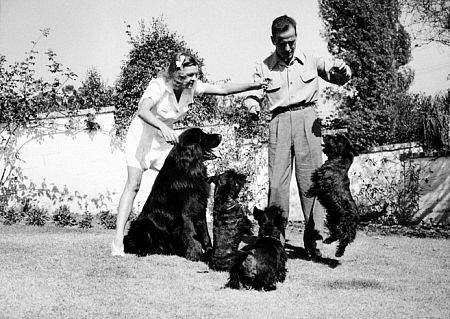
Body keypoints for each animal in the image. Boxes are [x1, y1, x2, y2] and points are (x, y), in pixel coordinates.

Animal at [123, 128, 221, 262]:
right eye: (203, 137)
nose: (220, 135)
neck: (188, 169)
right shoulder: (186, 212)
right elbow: (191, 232)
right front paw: (195, 254)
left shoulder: (199, 208)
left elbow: (205, 233)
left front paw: (210, 252)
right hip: (140, 225)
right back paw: (141, 251)